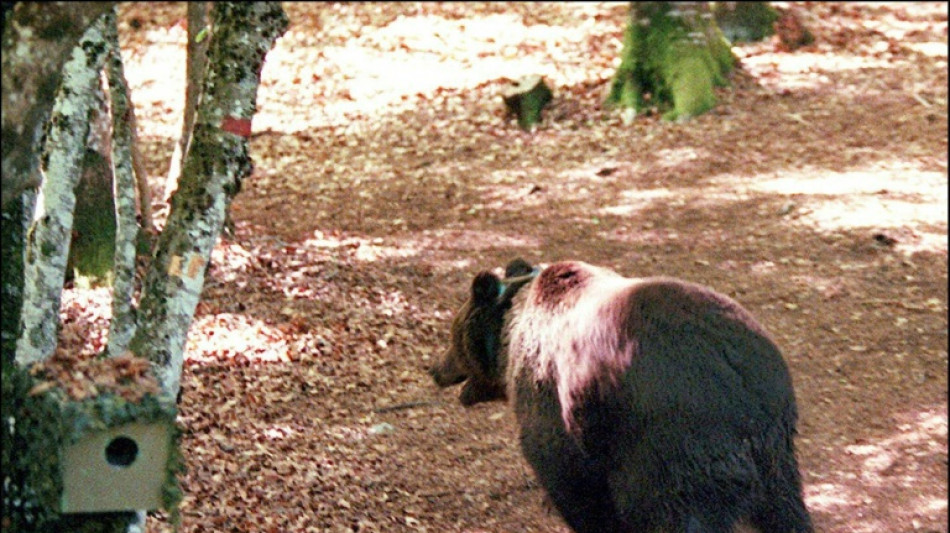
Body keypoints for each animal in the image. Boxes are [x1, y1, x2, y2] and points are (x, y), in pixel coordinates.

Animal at [430, 258, 812, 533]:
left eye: (452, 336)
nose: (434, 368)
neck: (509, 339)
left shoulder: (556, 403)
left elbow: (573, 484)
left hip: (673, 436)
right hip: (775, 450)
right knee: (785, 511)